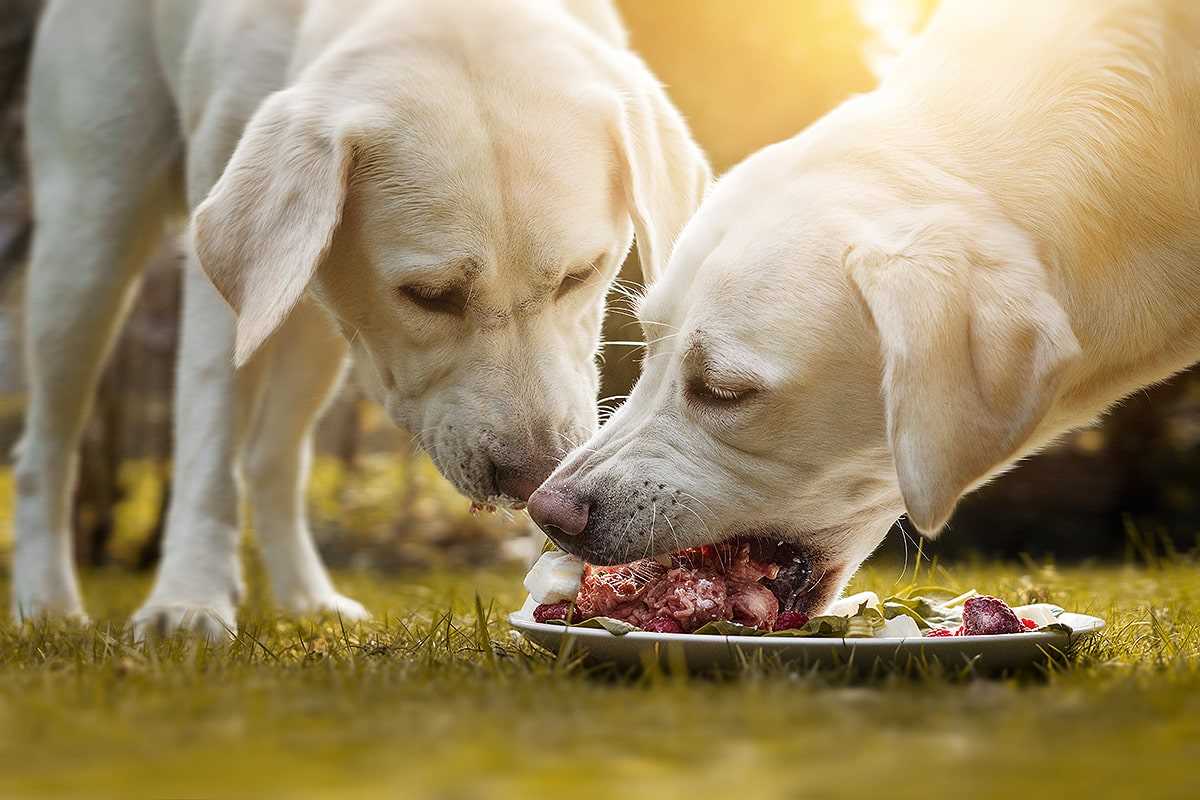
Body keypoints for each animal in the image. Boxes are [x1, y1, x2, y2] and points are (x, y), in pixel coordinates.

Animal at [14, 0, 705, 638]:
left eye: (579, 274)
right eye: (428, 296)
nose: (533, 478)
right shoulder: (224, 283)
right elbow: (208, 441)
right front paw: (188, 600)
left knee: (271, 458)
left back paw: (306, 598)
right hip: (89, 239)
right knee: (46, 446)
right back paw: (45, 600)